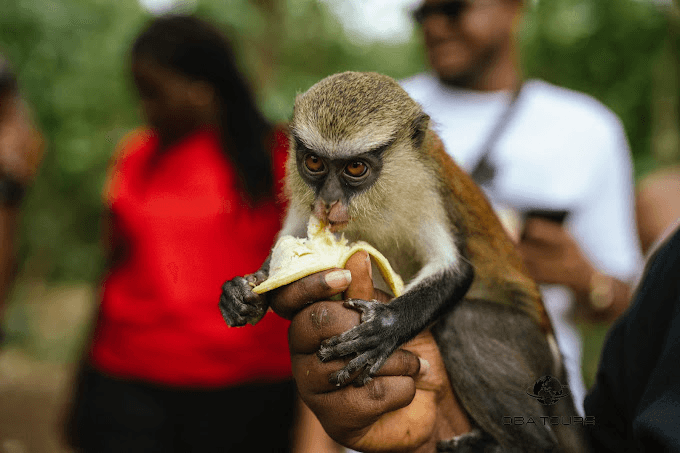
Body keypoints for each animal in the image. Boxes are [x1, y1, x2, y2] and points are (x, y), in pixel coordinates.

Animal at [219, 71, 590, 452]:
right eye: (314, 163)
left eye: (355, 167)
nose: (328, 201)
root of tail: (559, 368)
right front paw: (242, 294)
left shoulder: (428, 193)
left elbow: (458, 270)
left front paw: (385, 328)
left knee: (464, 323)